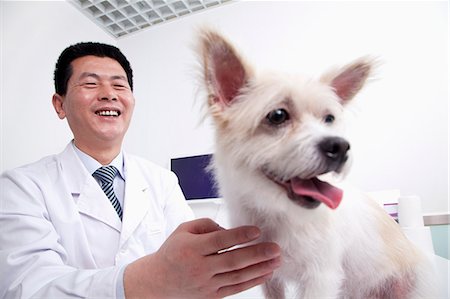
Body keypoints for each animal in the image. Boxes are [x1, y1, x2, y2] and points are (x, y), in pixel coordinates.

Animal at [198, 29, 436, 299]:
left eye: (329, 119)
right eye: (277, 116)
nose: (340, 146)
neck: (278, 214)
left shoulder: (321, 277)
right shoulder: (270, 277)